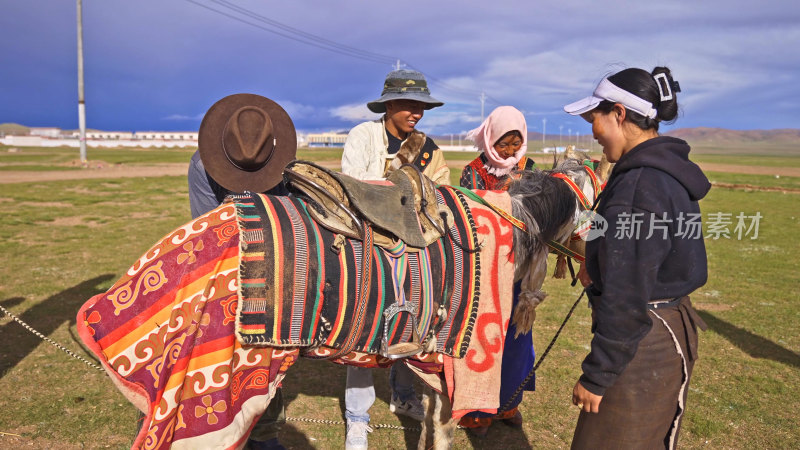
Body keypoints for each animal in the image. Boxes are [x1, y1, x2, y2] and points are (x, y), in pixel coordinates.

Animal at [76, 159, 600, 450]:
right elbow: (445, 430)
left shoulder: (435, 365)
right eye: (596, 198)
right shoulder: (463, 367)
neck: (509, 228)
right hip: (218, 393)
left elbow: (430, 425)